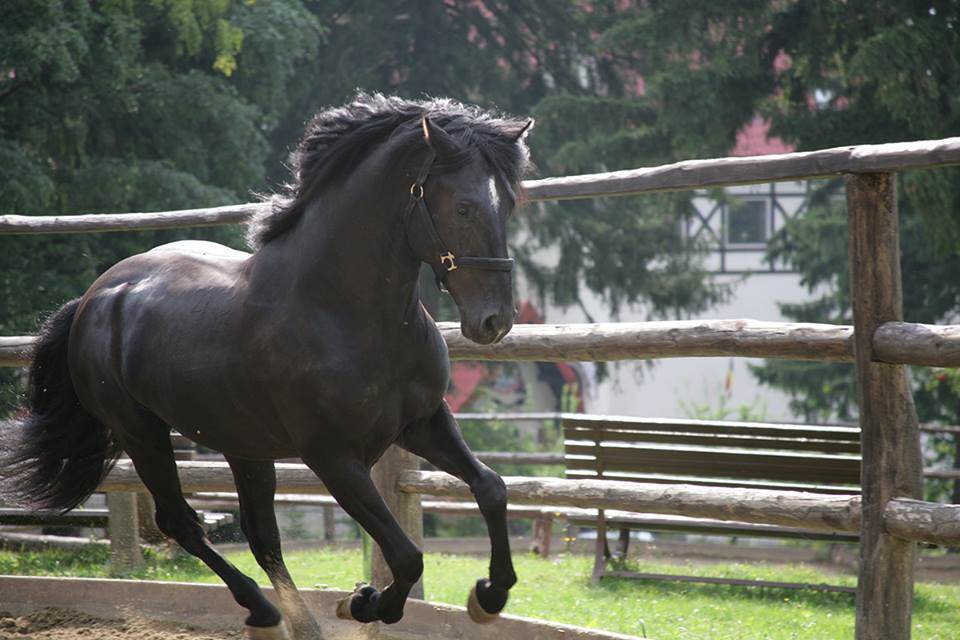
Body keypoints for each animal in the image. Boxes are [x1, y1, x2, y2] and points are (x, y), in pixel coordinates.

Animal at [1, 95, 532, 640]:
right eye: (463, 206)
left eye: (510, 205)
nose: (494, 321)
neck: (345, 311)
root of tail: (94, 297)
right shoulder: (334, 458)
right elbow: (406, 556)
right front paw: (363, 603)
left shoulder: (422, 423)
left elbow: (491, 488)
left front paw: (488, 596)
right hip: (140, 432)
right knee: (182, 522)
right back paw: (265, 611)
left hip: (242, 445)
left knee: (261, 537)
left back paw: (296, 622)